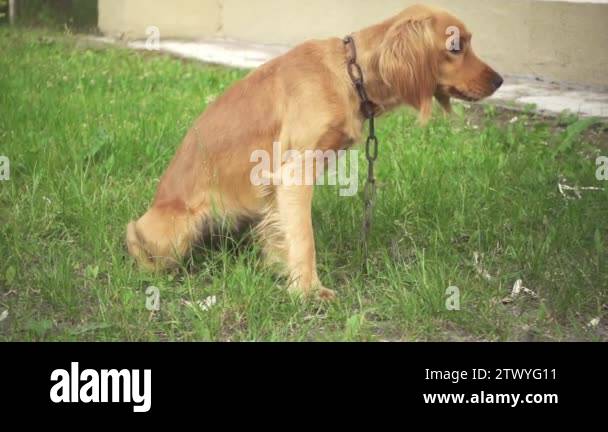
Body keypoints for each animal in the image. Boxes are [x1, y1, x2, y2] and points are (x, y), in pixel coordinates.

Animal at [126, 4, 502, 300]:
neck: (349, 75)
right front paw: (308, 290)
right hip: (176, 227)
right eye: (455, 46)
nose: (499, 80)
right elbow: (303, 238)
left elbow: (283, 233)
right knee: (135, 235)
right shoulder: (295, 172)